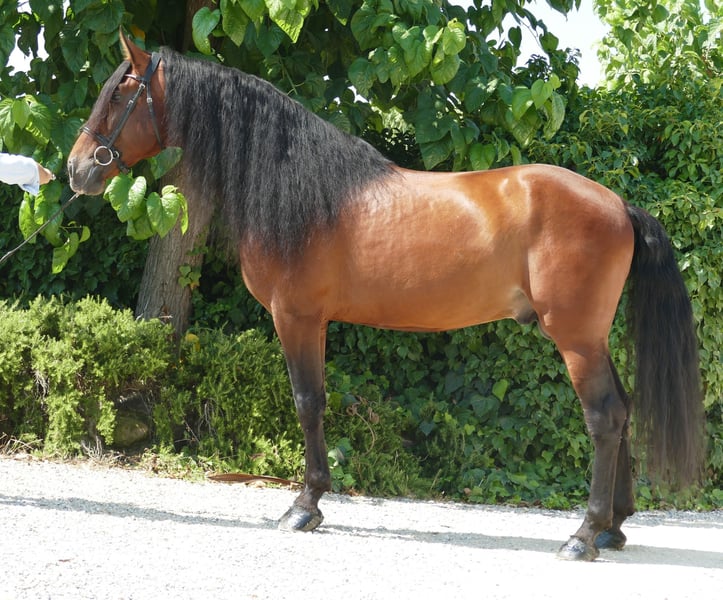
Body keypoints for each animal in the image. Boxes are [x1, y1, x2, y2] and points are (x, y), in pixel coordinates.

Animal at [67, 31, 704, 561]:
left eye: (121, 91)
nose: (76, 170)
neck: (301, 192)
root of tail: (617, 204)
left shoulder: (297, 317)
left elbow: (307, 403)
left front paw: (304, 506)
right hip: (591, 338)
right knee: (623, 411)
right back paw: (612, 528)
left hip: (574, 338)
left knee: (604, 416)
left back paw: (582, 535)